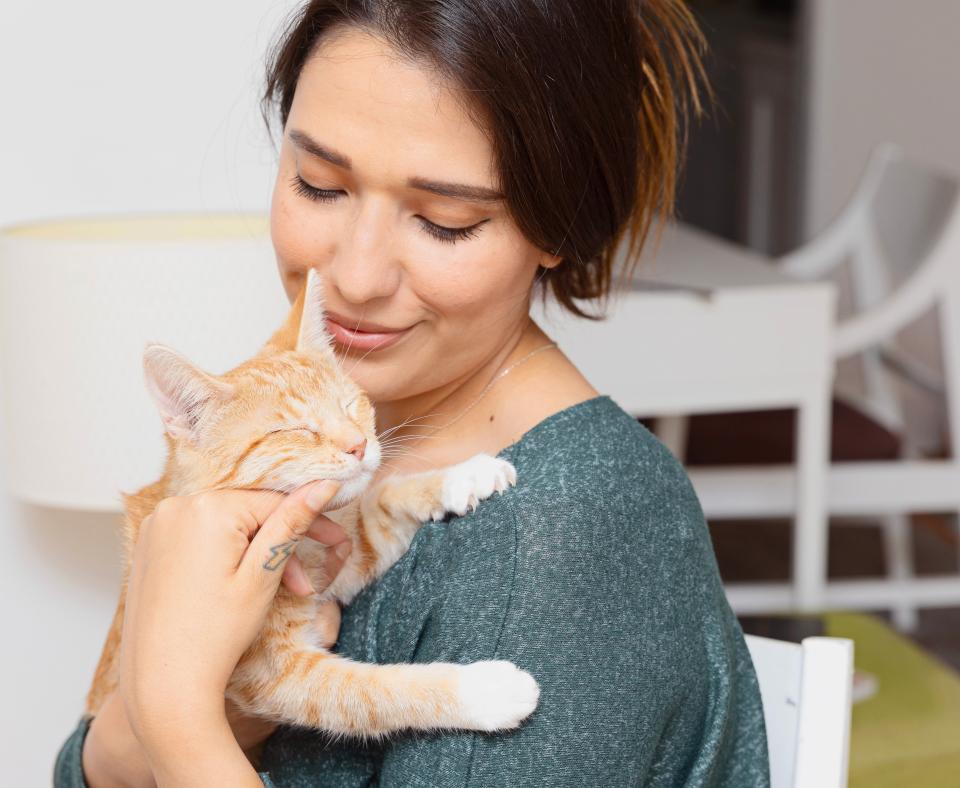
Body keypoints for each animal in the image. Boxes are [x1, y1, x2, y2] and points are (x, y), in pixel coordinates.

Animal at [86, 270, 540, 740]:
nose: (359, 445)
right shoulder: (275, 675)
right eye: (296, 430)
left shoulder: (348, 559)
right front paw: (483, 691)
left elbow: (383, 499)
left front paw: (464, 475)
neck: (302, 546)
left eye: (349, 403)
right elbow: (375, 692)